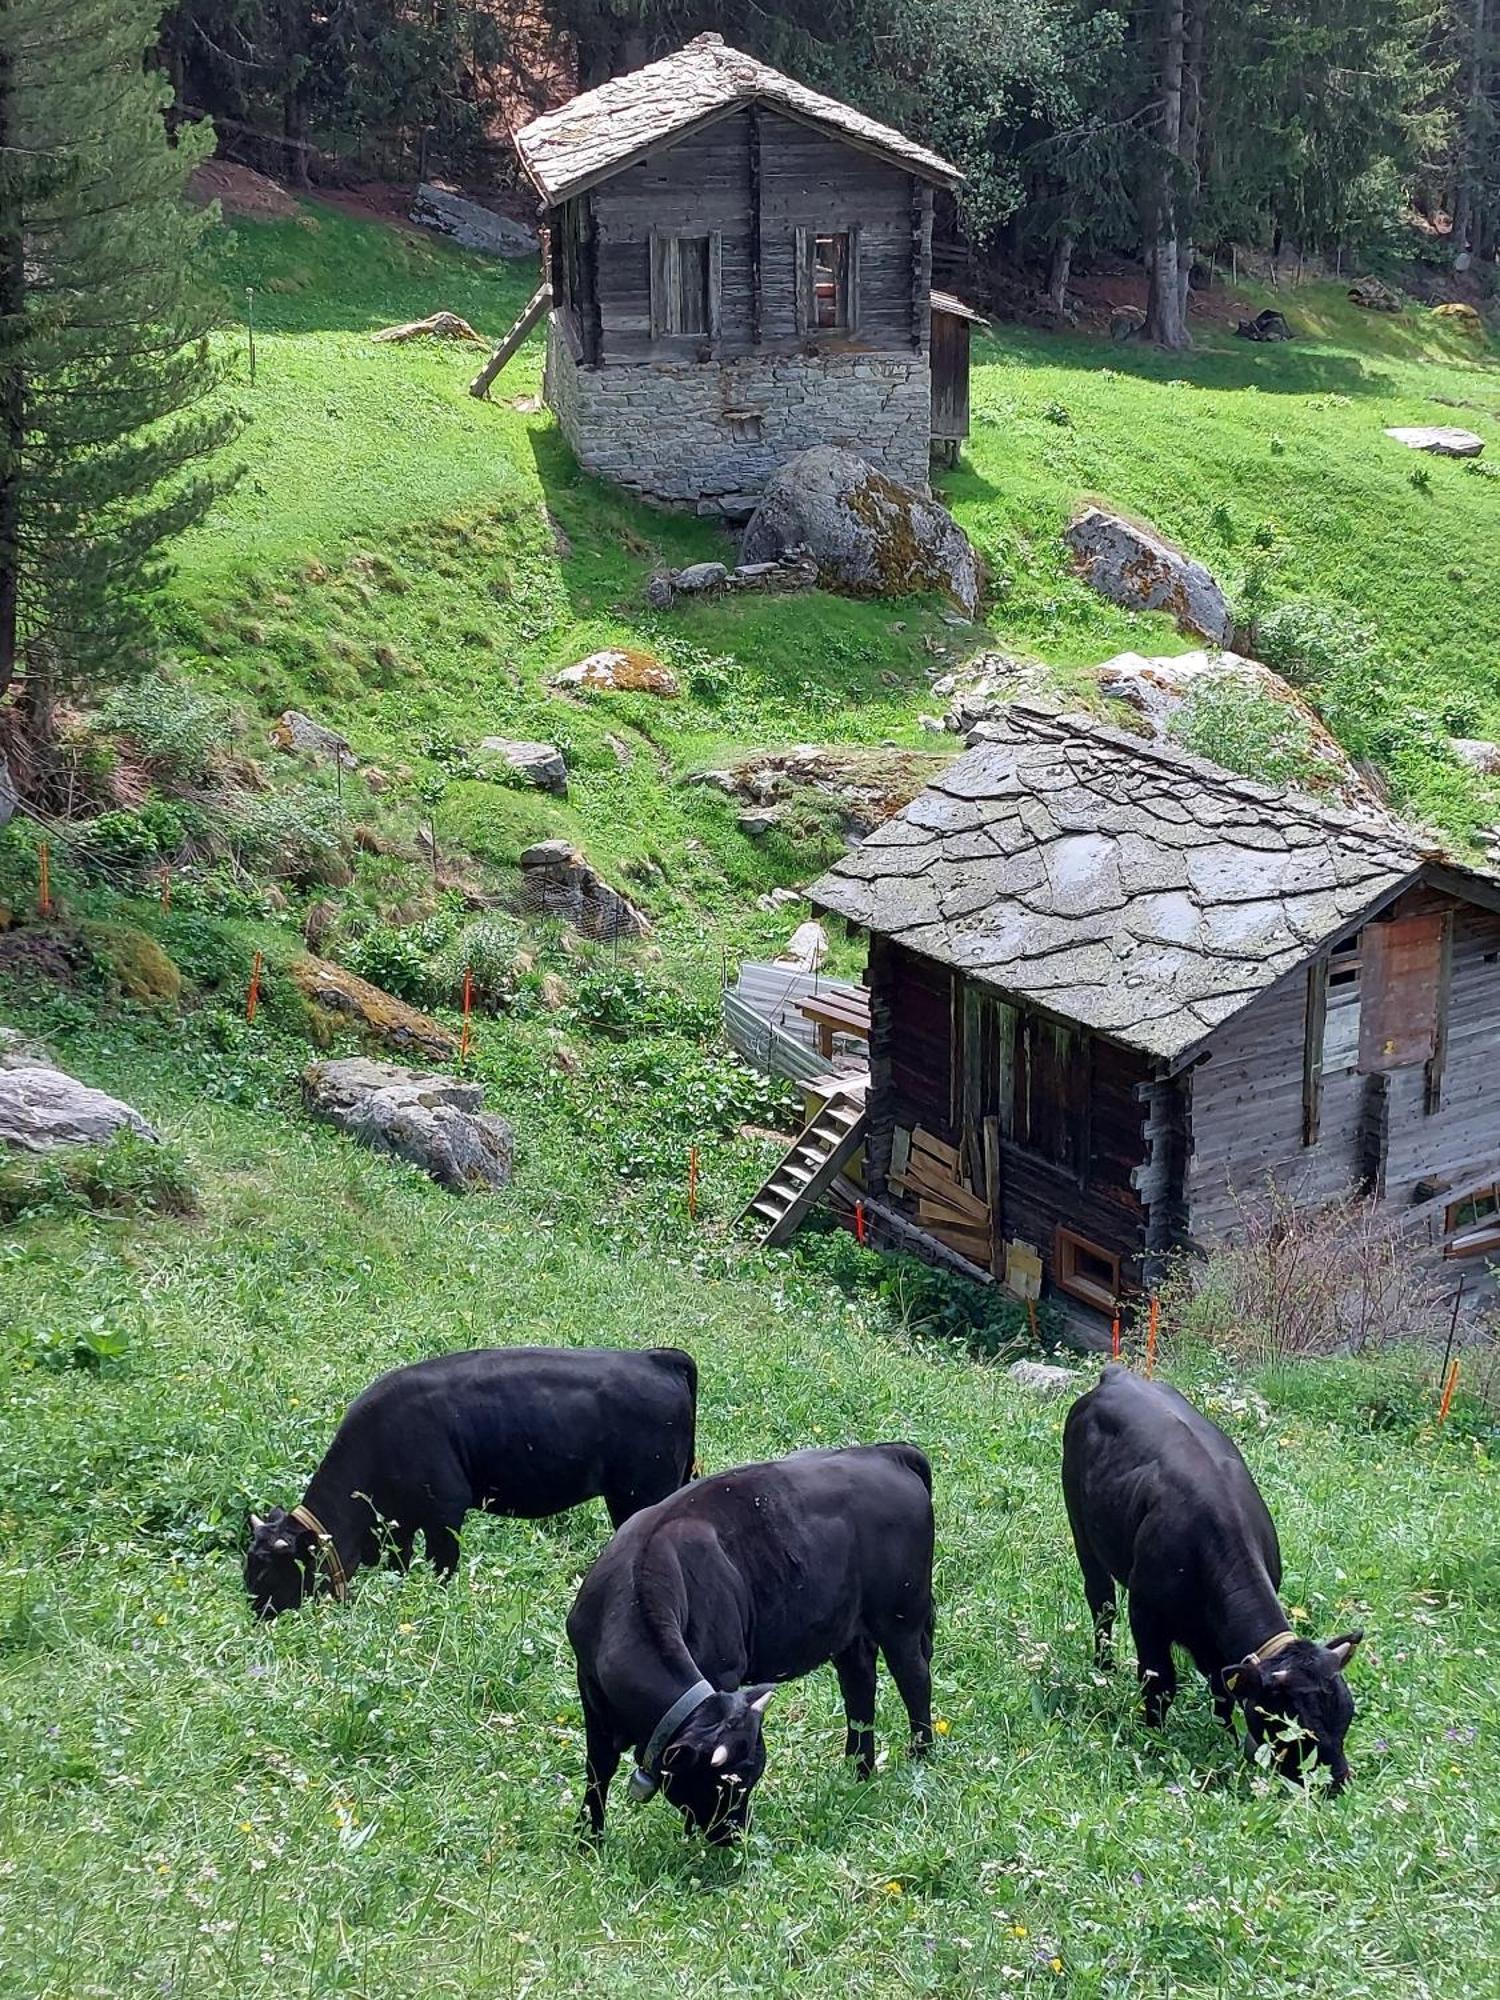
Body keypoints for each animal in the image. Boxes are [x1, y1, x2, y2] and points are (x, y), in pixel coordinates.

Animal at [242, 1336, 700, 1616]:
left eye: (266, 1570)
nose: (256, 1611)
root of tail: (655, 1357)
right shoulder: (400, 1523)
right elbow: (400, 1564)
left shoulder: (445, 1512)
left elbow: (443, 1567)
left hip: (640, 1494)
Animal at [568, 1440, 936, 1840]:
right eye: (721, 1783)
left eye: (750, 1778)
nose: (733, 1834)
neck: (636, 1586)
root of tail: (885, 1452)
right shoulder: (590, 1690)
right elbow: (598, 1767)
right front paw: (588, 1836)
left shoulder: (723, 1671)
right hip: (849, 1630)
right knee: (859, 1687)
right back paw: (859, 1770)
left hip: (901, 1618)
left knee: (915, 1680)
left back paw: (920, 1758)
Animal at [1064, 1368, 1368, 1792]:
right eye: (1291, 1727)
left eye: (1348, 1715)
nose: (1336, 1783)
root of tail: (1117, 1376)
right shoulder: (1146, 1612)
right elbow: (1159, 1683)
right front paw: (1153, 1736)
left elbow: (1223, 1689)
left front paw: (1225, 1736)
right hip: (1081, 1525)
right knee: (1101, 1600)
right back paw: (1103, 1667)